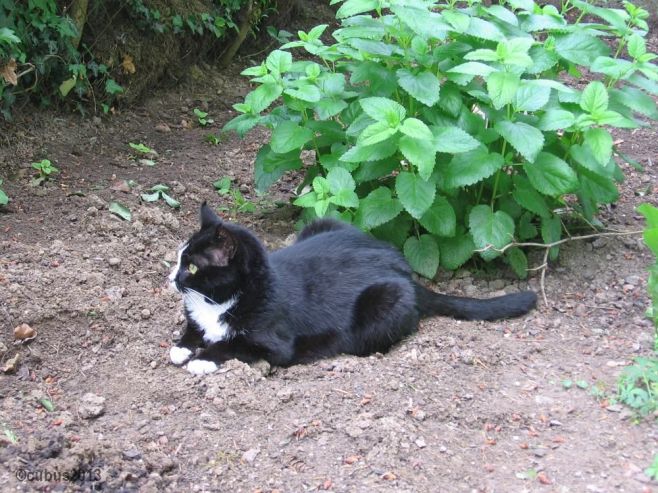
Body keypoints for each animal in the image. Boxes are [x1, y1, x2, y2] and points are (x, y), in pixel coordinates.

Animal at [168, 203, 537, 375]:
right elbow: (193, 330)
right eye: (179, 256)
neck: (216, 303)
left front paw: (203, 360)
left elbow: (234, 345)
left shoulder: (275, 343)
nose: (171, 277)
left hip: (387, 299)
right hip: (324, 221)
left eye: (192, 267)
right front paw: (182, 348)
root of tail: (408, 275)